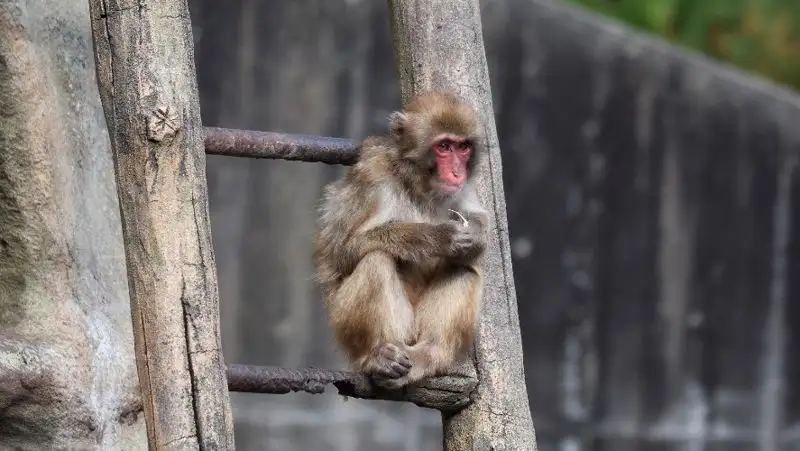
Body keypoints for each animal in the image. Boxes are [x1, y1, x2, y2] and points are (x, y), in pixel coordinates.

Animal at [313, 91, 489, 390]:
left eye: (463, 147)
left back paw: (429, 353)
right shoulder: (372, 178)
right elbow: (340, 253)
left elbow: (479, 230)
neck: (418, 185)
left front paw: (474, 237)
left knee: (463, 269)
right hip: (345, 323)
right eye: (444, 146)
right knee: (376, 259)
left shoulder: (463, 189)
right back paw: (377, 358)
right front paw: (438, 237)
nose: (457, 173)